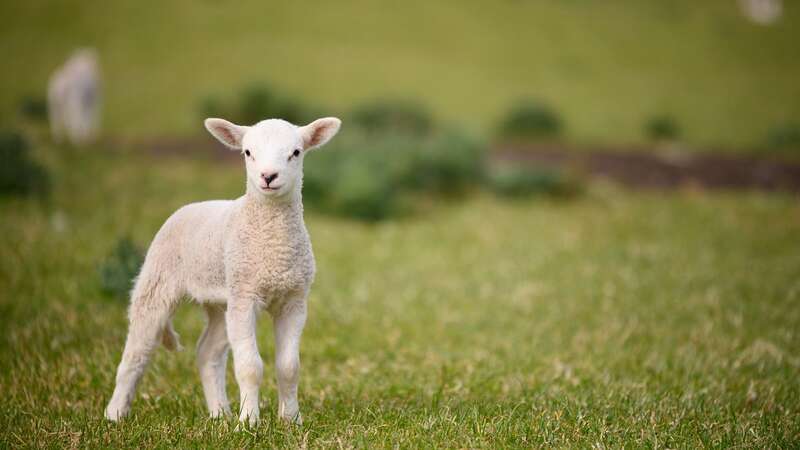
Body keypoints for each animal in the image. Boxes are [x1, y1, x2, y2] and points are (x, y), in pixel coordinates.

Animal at [104, 114, 342, 424]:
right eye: (248, 152)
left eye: (296, 152)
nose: (268, 177)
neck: (272, 246)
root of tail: (193, 205)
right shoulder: (245, 295)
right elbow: (250, 366)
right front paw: (249, 422)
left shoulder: (293, 299)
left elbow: (289, 367)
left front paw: (291, 420)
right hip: (159, 278)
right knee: (137, 351)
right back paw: (115, 414)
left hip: (221, 300)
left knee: (207, 352)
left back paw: (219, 413)